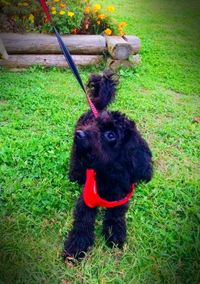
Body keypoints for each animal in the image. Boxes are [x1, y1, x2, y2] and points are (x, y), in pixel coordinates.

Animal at [64, 70, 153, 260]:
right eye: (94, 126)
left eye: (111, 135)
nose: (79, 134)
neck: (109, 175)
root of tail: (97, 108)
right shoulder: (87, 199)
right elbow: (83, 222)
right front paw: (75, 248)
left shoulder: (120, 201)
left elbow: (116, 218)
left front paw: (115, 237)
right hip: (77, 153)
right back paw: (75, 176)